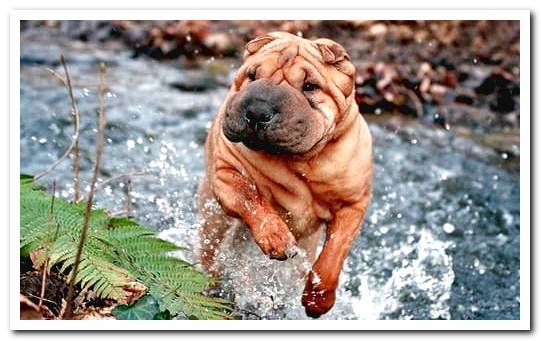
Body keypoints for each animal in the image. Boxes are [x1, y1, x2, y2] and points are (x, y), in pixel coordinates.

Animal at [197, 31, 372, 316]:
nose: (257, 111)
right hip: (212, 226)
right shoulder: (226, 172)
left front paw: (317, 300)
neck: (299, 161)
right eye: (252, 75)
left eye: (310, 86)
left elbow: (333, 255)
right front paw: (277, 239)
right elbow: (252, 199)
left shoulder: (353, 203)